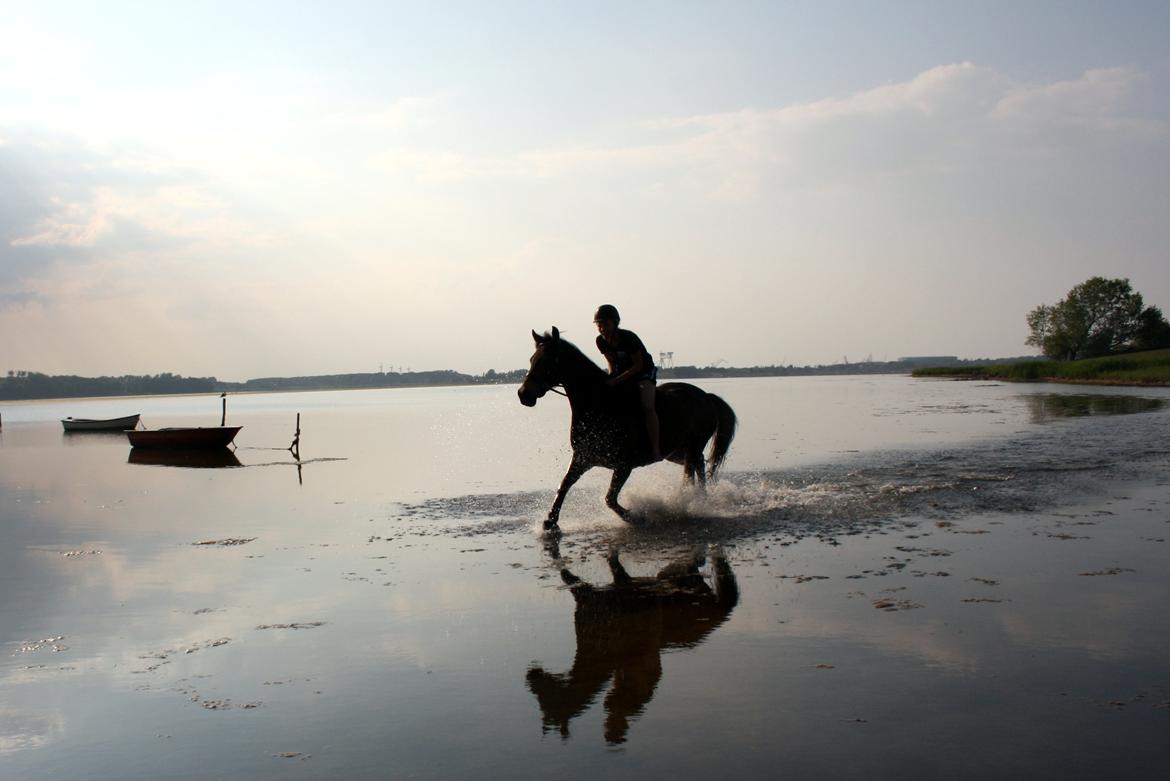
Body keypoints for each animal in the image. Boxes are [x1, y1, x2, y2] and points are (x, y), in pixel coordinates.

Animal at [517, 327, 734, 528]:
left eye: (548, 361)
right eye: (532, 359)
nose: (523, 394)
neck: (599, 405)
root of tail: (706, 396)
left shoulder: (623, 464)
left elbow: (610, 499)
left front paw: (634, 517)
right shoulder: (582, 458)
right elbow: (564, 485)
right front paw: (550, 521)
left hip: (693, 445)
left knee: (695, 468)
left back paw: (695, 501)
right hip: (676, 452)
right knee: (696, 467)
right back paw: (694, 499)